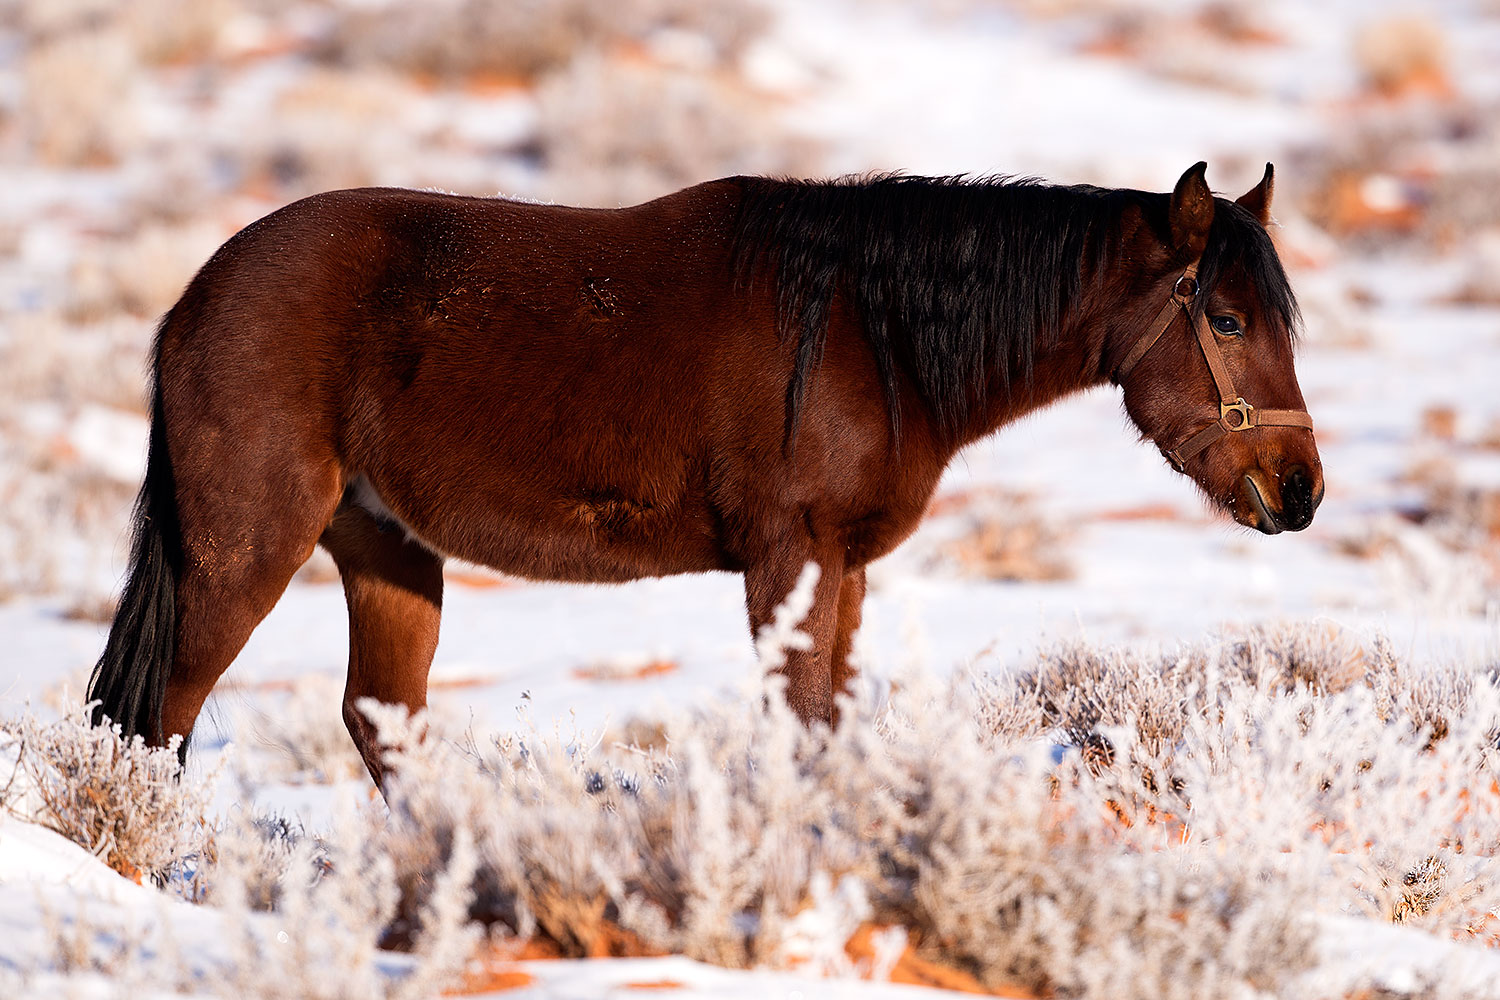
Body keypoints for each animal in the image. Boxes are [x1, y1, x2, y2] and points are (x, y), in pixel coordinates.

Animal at [89, 161, 1322, 786]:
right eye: (1224, 316)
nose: (1301, 488)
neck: (867, 328)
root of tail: (195, 299)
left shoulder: (843, 569)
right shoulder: (788, 562)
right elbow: (803, 728)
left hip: (386, 548)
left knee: (380, 723)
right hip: (243, 550)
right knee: (158, 719)